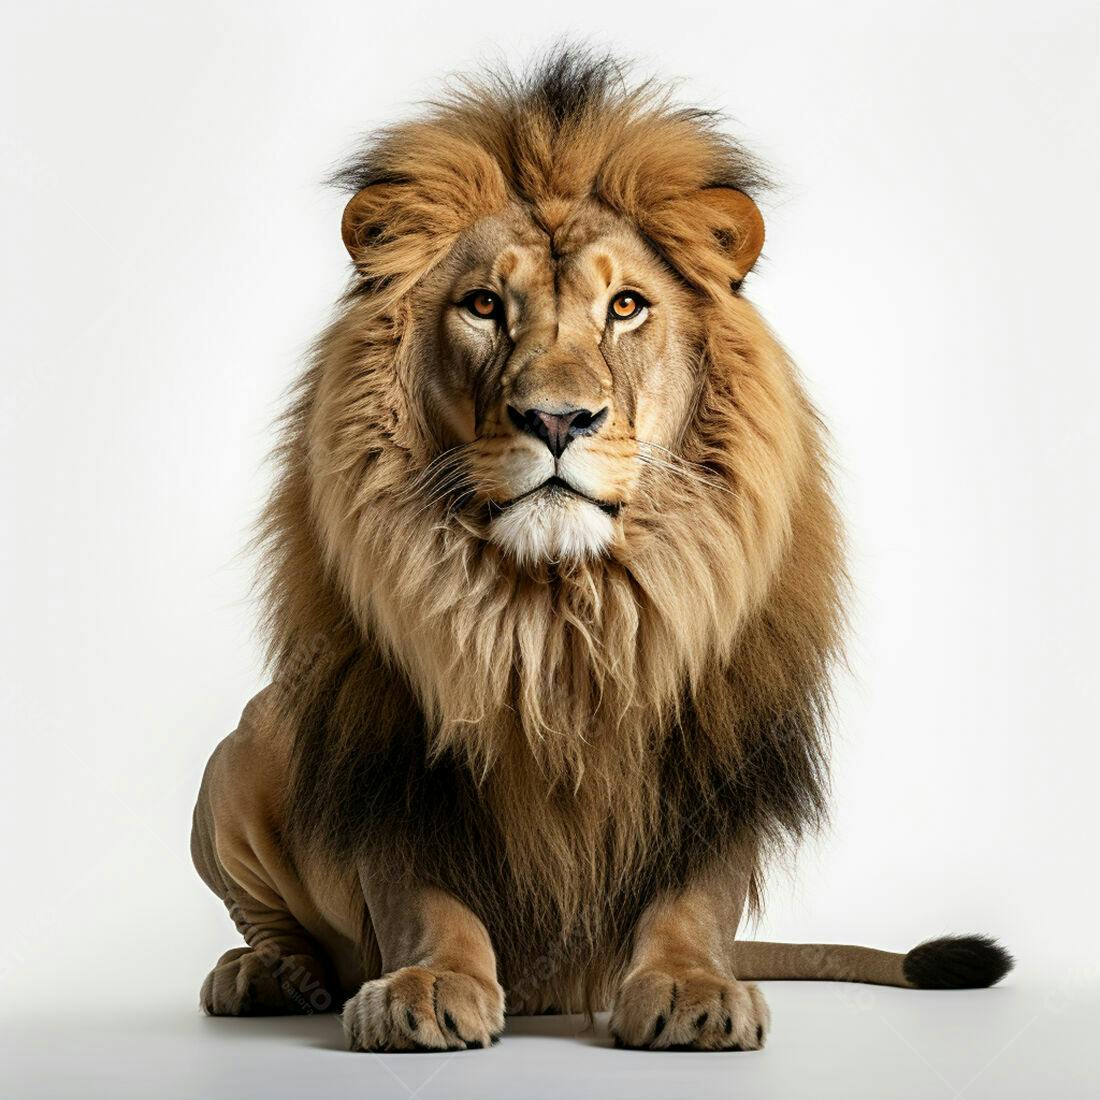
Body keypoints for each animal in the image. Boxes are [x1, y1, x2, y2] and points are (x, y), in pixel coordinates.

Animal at [191, 51, 1012, 1052]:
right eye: (482, 306)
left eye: (625, 307)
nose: (556, 418)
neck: (560, 608)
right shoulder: (391, 745)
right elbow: (422, 892)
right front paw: (429, 985)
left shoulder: (721, 744)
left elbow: (695, 895)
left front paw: (692, 989)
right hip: (242, 752)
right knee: (267, 917)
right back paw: (269, 973)